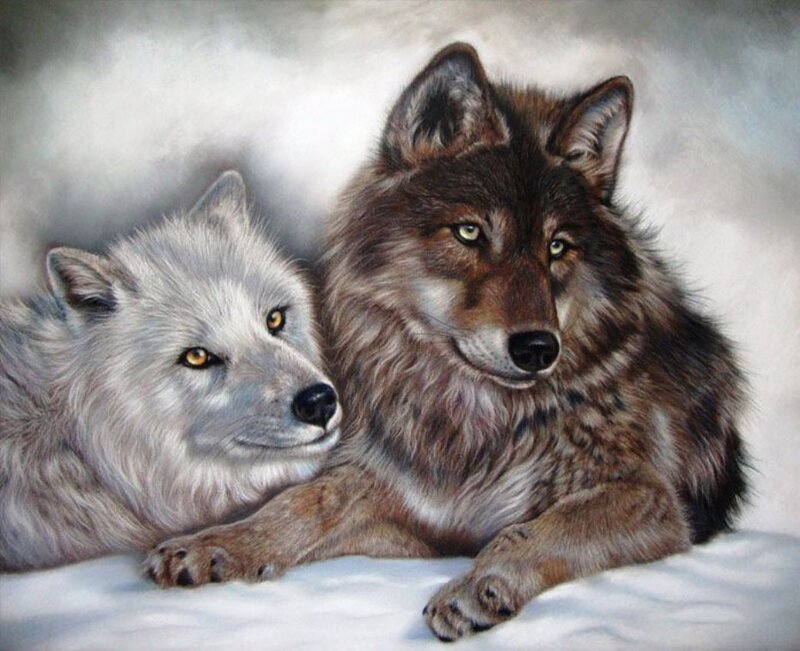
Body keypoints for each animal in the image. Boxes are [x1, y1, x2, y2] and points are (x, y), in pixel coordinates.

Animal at [147, 44, 748, 641]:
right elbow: (304, 499)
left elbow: (536, 529)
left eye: (557, 246)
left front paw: (478, 588)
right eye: (469, 232)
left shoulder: (651, 500)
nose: (538, 349)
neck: (473, 422)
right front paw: (217, 544)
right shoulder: (411, 513)